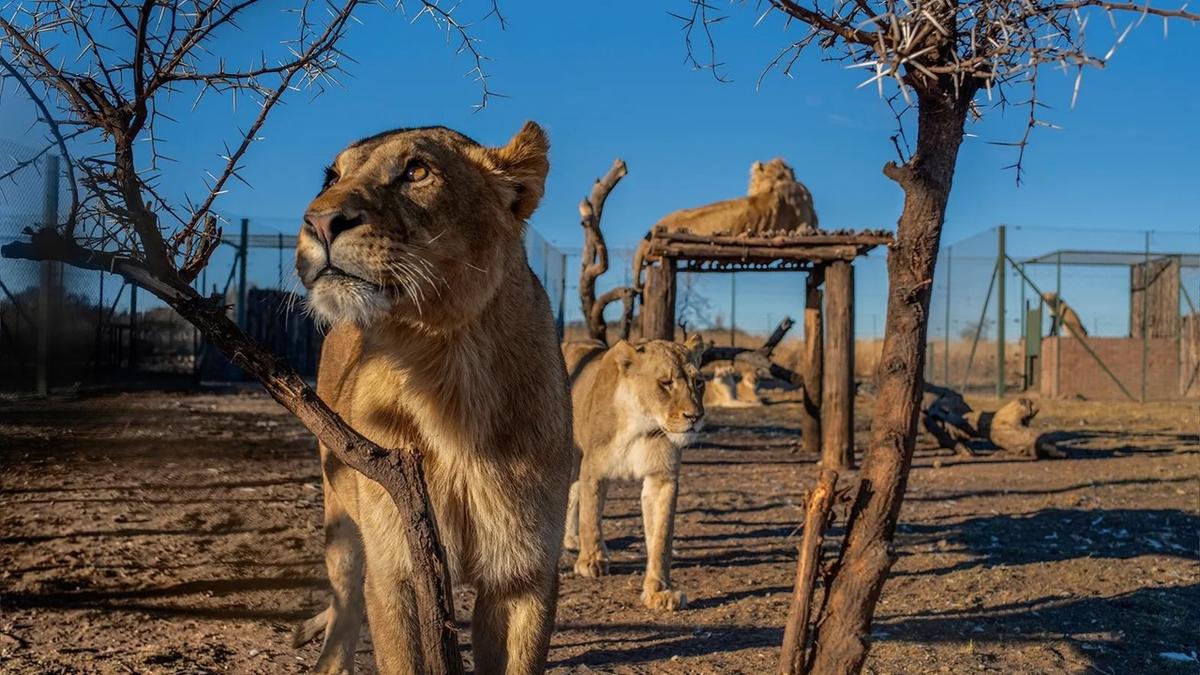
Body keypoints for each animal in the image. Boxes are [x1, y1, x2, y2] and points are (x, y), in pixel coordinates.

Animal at [292, 123, 573, 674]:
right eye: (331, 177)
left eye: (416, 171)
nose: (318, 221)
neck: (447, 369)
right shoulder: (397, 567)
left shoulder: (524, 574)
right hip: (341, 515)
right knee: (346, 599)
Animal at [560, 336, 706, 611]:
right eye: (666, 383)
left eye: (698, 382)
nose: (695, 417)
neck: (642, 426)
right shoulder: (594, 467)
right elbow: (591, 516)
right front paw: (591, 561)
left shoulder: (662, 478)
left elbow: (661, 539)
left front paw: (660, 591)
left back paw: (572, 538)